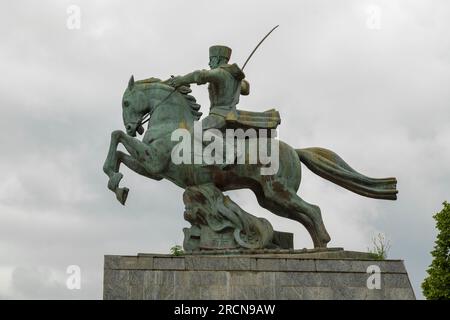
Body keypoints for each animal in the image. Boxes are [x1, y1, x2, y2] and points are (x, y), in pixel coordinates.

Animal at [103, 76, 398, 249]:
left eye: (126, 102)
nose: (132, 127)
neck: (173, 127)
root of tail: (294, 150)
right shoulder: (152, 170)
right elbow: (119, 153)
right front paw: (118, 186)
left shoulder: (153, 163)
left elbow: (115, 137)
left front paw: (115, 179)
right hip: (270, 199)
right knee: (305, 215)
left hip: (279, 192)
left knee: (313, 210)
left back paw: (323, 248)